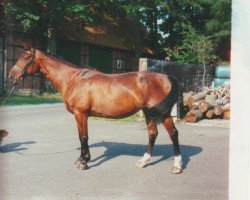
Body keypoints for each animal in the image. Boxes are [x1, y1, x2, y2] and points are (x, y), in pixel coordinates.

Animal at [8, 45, 183, 173]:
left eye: (25, 57)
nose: (10, 76)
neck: (73, 79)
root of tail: (167, 77)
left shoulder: (80, 114)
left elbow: (83, 137)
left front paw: (83, 161)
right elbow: (82, 136)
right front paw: (82, 159)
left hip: (162, 114)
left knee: (173, 134)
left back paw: (177, 166)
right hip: (150, 113)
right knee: (153, 134)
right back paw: (143, 161)